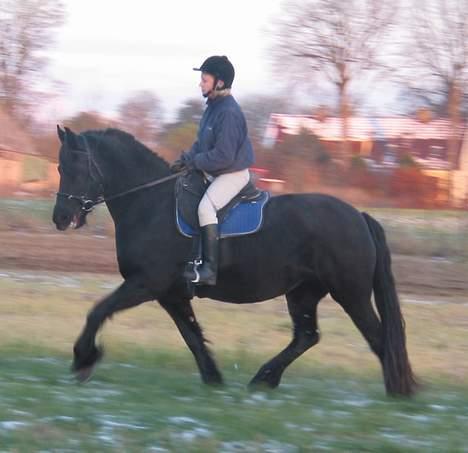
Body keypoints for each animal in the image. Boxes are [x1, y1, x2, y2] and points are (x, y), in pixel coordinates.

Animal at [52, 125, 416, 394]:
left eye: (75, 168)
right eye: (59, 168)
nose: (61, 218)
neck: (150, 203)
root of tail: (358, 217)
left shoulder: (146, 283)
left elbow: (98, 310)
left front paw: (83, 359)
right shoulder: (171, 293)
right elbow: (192, 335)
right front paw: (213, 379)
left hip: (350, 294)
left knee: (377, 338)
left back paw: (397, 394)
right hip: (303, 292)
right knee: (307, 336)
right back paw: (264, 379)